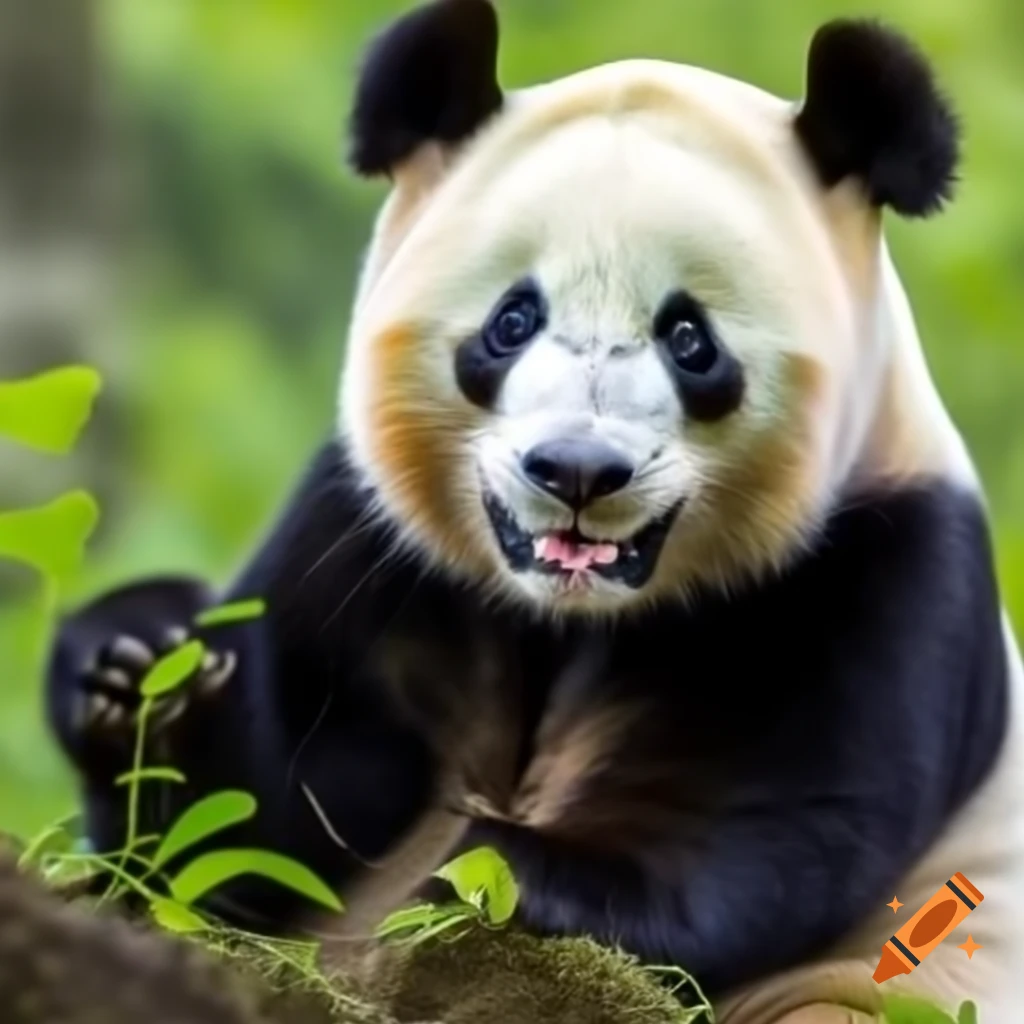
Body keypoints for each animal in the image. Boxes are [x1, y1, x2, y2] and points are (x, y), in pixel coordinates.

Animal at [44, 1, 1024, 1021]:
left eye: (689, 339)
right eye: (512, 321)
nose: (578, 471)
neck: (563, 613)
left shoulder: (879, 562)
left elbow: (762, 821)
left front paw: (498, 866)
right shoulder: (370, 537)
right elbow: (267, 827)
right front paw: (143, 675)